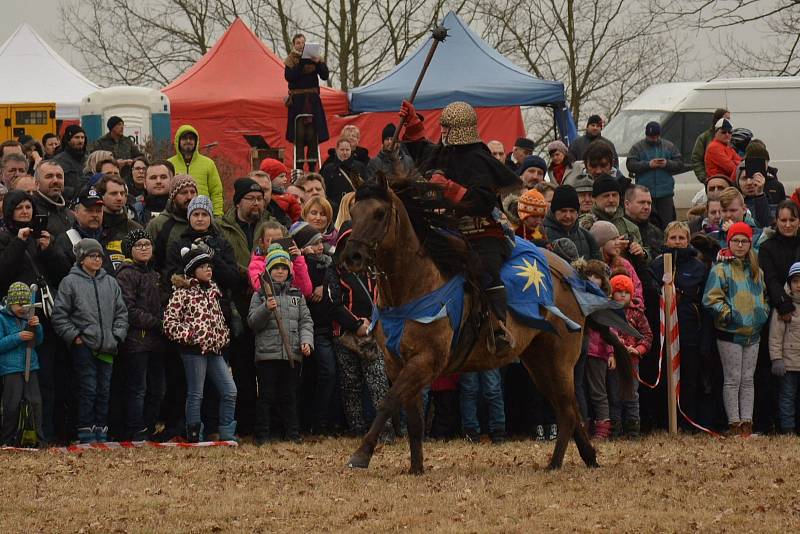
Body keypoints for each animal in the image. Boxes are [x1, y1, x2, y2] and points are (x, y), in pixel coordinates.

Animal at [338, 174, 632, 476]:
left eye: (379, 213)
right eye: (353, 213)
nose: (352, 256)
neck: (415, 285)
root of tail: (573, 276)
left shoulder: (425, 361)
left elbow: (388, 401)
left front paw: (361, 454)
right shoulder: (397, 363)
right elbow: (413, 418)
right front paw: (416, 468)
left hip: (559, 359)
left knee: (567, 412)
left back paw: (556, 463)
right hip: (539, 362)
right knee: (569, 408)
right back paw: (587, 457)